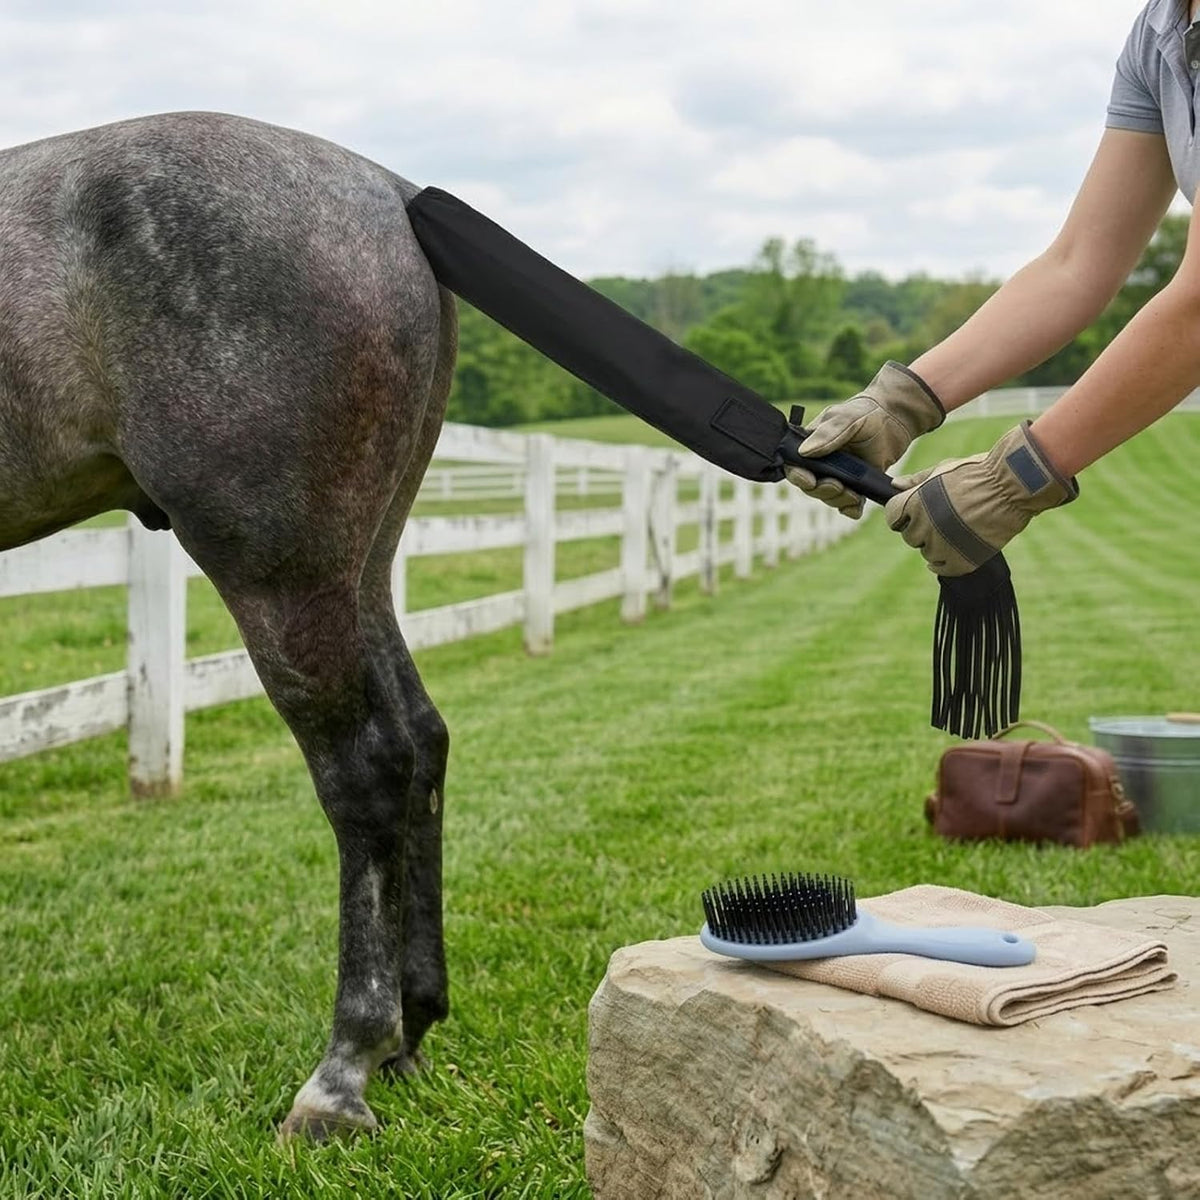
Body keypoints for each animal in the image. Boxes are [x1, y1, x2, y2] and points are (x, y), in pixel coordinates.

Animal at [1, 110, 456, 1139]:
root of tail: (389, 193)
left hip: (281, 577)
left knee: (368, 770)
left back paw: (342, 1072)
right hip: (361, 567)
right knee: (422, 742)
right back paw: (409, 1030)